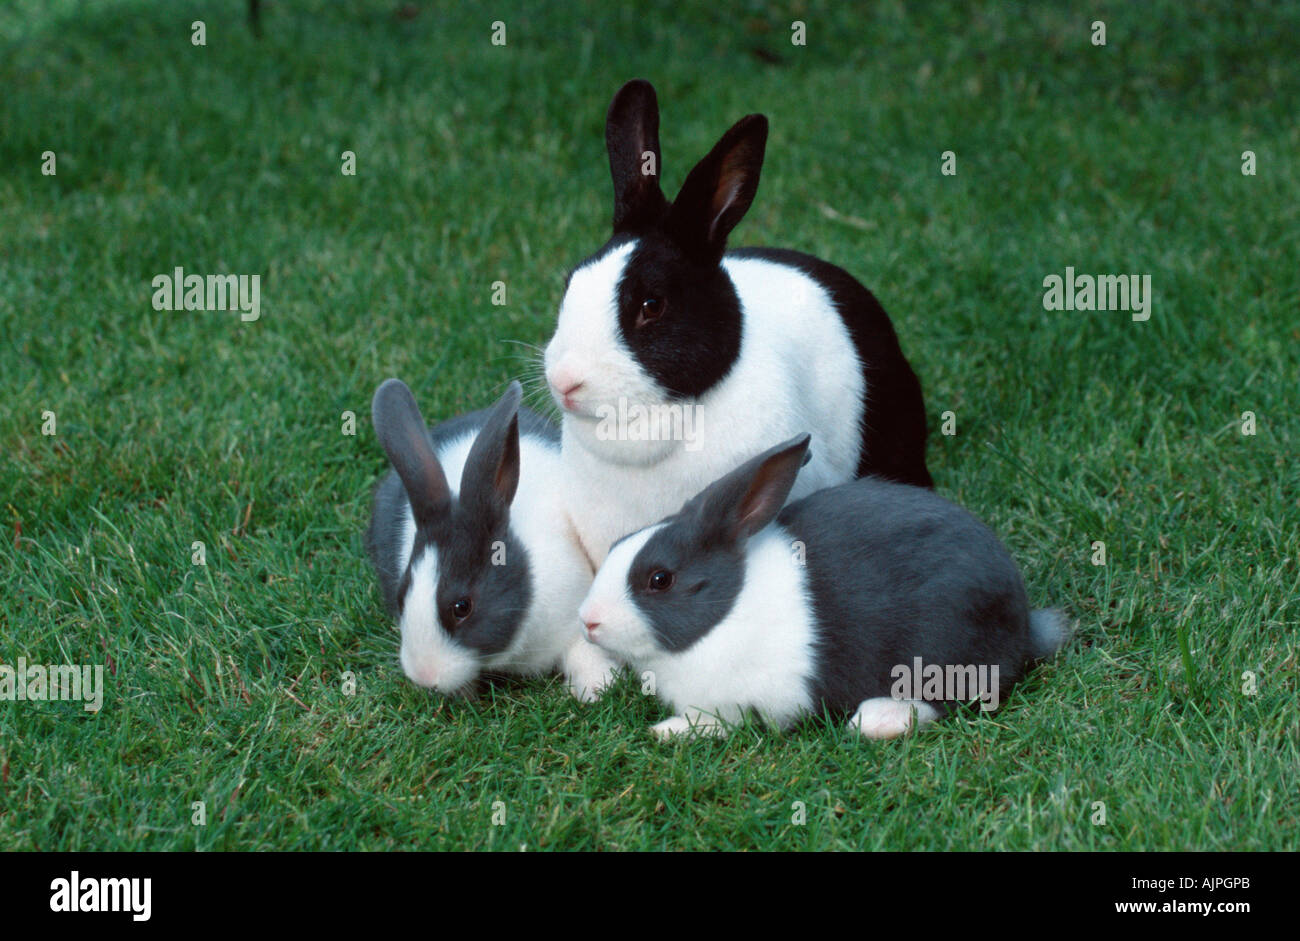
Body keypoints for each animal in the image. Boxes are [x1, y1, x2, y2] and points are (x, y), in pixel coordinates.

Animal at [576, 434, 1070, 740]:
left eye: (660, 579)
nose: (588, 621)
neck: (725, 614)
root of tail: (1024, 625)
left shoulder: (754, 699)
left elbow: (727, 722)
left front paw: (668, 732)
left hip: (939, 647)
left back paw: (878, 720)